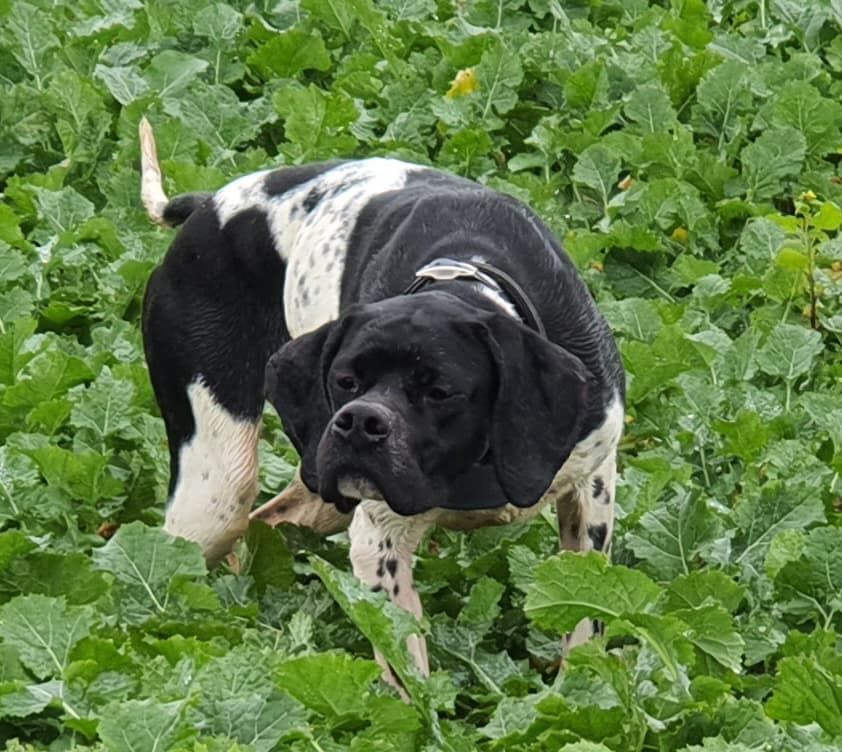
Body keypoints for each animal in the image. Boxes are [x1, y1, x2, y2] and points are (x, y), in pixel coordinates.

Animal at [138, 119, 624, 688]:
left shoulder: (592, 493)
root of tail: (206, 207)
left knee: (268, 522)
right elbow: (403, 663)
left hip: (315, 491)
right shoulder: (378, 539)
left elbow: (585, 626)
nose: (360, 422)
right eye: (345, 380)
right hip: (216, 493)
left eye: (440, 391)